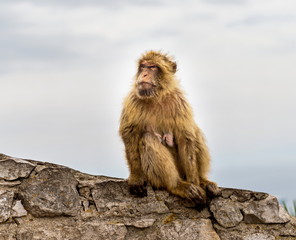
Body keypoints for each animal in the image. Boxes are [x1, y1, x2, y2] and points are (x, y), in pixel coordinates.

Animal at [119, 51, 219, 204]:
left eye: (153, 67)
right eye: (143, 66)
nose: (144, 74)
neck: (156, 96)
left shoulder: (179, 101)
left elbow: (186, 138)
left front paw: (196, 183)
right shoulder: (133, 100)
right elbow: (130, 133)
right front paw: (136, 177)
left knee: (194, 131)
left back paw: (201, 181)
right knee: (148, 138)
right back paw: (176, 185)